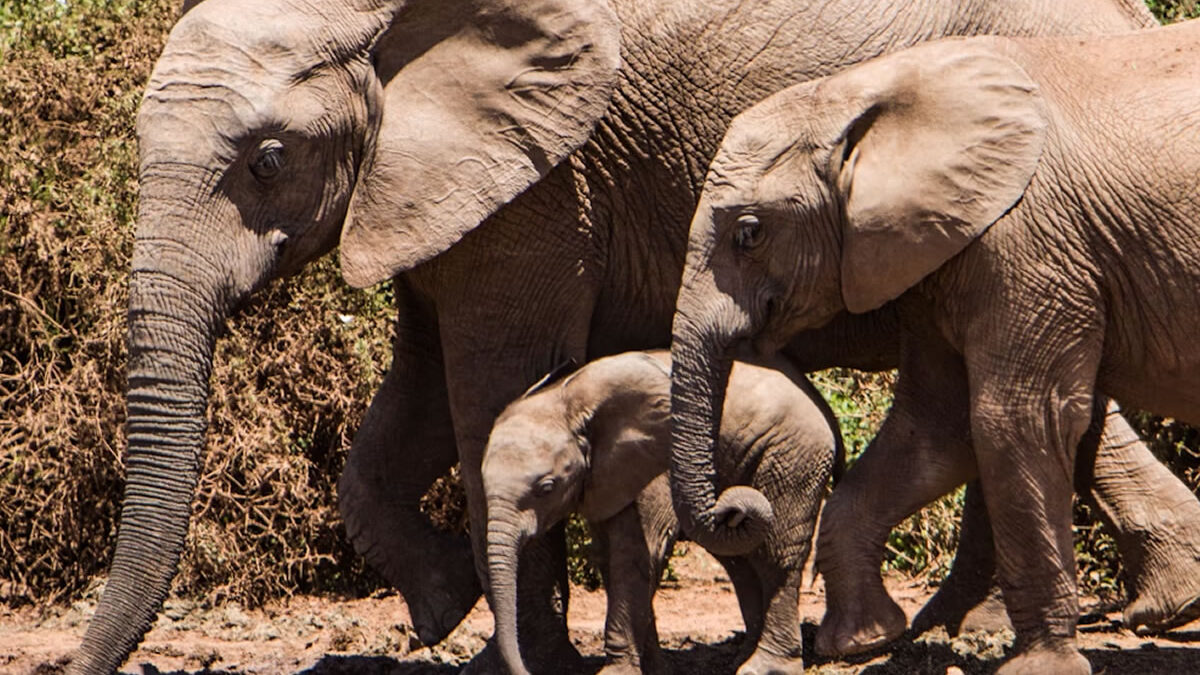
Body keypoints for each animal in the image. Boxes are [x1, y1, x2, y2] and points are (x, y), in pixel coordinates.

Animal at [482, 348, 840, 672]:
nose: (525, 669)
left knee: (777, 555)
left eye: (546, 488)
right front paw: (655, 668)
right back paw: (742, 659)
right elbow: (609, 558)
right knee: (741, 561)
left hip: (794, 454)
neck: (565, 401)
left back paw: (765, 667)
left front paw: (618, 672)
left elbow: (635, 556)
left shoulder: (653, 467)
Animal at [672, 18, 1200, 672]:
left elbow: (1015, 420)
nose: (736, 504)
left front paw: (1040, 667)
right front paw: (862, 641)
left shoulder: (1026, 243)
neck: (863, 94)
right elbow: (933, 427)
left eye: (749, 233)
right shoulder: (938, 251)